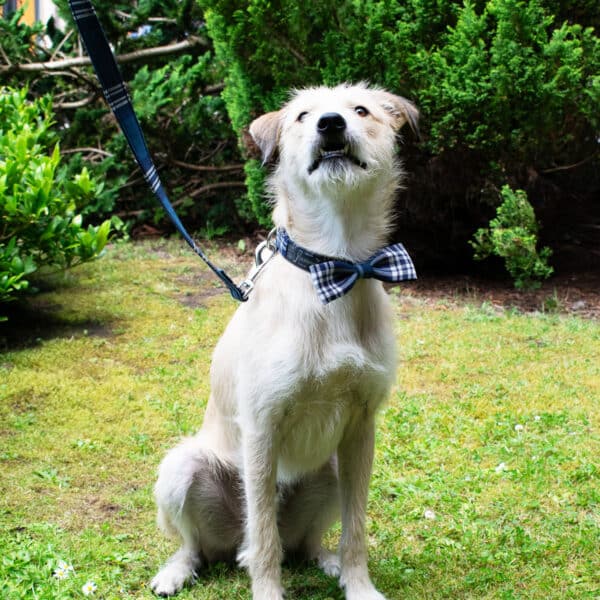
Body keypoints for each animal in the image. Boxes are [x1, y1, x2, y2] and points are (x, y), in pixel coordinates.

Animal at [151, 81, 418, 600]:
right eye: (301, 116)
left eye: (362, 110)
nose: (331, 124)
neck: (333, 264)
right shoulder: (262, 427)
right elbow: (264, 540)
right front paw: (268, 592)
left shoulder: (362, 427)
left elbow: (356, 529)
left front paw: (358, 584)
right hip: (182, 468)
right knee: (208, 545)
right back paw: (178, 570)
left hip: (330, 472)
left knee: (302, 541)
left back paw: (325, 560)